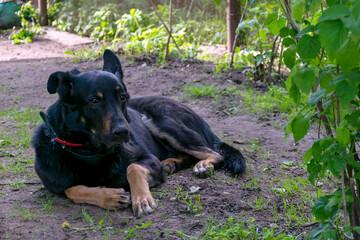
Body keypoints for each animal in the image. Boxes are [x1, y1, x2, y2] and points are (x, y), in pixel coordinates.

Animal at [31, 49, 245, 218]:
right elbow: (73, 189)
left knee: (213, 153)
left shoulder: (148, 159)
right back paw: (170, 164)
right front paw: (110, 196)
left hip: (161, 121)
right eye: (94, 100)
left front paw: (142, 199)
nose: (123, 132)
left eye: (122, 97)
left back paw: (203, 164)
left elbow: (132, 167)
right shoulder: (56, 186)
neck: (90, 152)